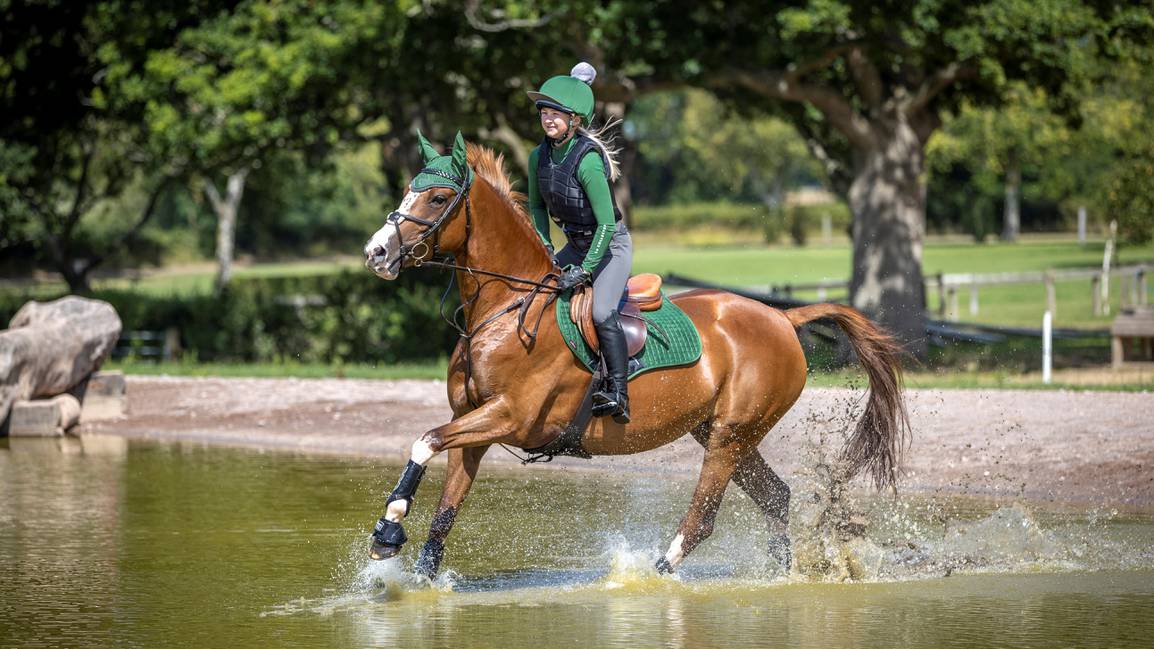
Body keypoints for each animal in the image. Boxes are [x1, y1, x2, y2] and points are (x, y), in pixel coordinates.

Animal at [362, 133, 909, 577]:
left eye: (437, 197)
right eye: (407, 189)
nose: (376, 253)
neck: (505, 309)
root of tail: (782, 318)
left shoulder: (510, 416)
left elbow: (425, 440)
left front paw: (388, 530)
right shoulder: (472, 422)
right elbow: (444, 508)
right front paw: (410, 567)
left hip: (731, 435)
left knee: (704, 516)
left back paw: (654, 574)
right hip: (722, 431)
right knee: (775, 498)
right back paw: (781, 576)